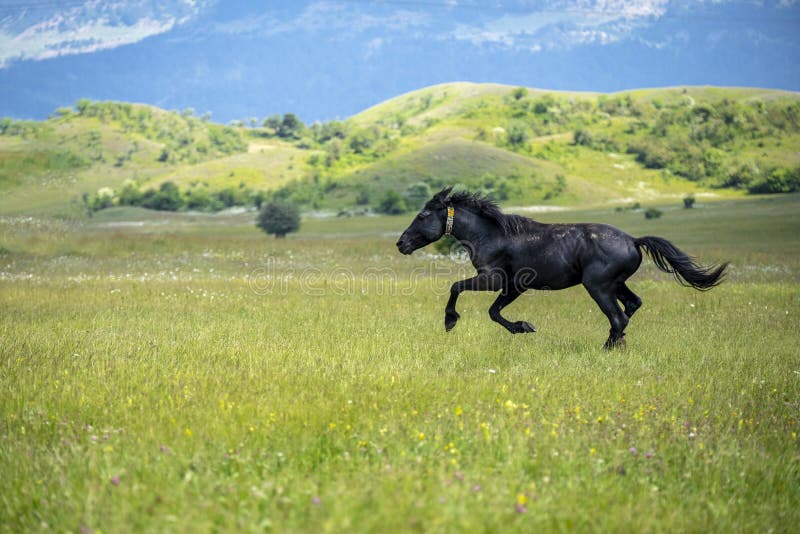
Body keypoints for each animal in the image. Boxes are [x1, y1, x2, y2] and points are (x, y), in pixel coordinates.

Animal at [396, 188, 728, 352]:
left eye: (423, 215)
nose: (401, 243)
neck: (491, 234)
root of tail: (634, 241)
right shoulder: (513, 287)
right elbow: (494, 312)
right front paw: (523, 327)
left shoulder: (494, 280)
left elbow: (458, 288)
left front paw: (450, 321)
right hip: (614, 284)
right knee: (632, 306)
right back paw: (611, 343)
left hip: (598, 286)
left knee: (618, 316)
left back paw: (610, 349)